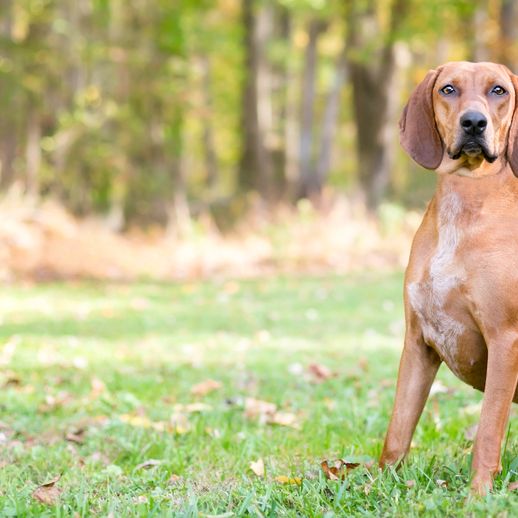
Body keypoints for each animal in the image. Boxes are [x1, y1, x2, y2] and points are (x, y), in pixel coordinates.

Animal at [380, 63, 518, 498]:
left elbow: (487, 432)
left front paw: (478, 496)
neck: (466, 197)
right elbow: (397, 431)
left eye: (498, 90)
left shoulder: (505, 340)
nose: (473, 122)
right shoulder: (418, 342)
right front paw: (374, 485)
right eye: (448, 89)